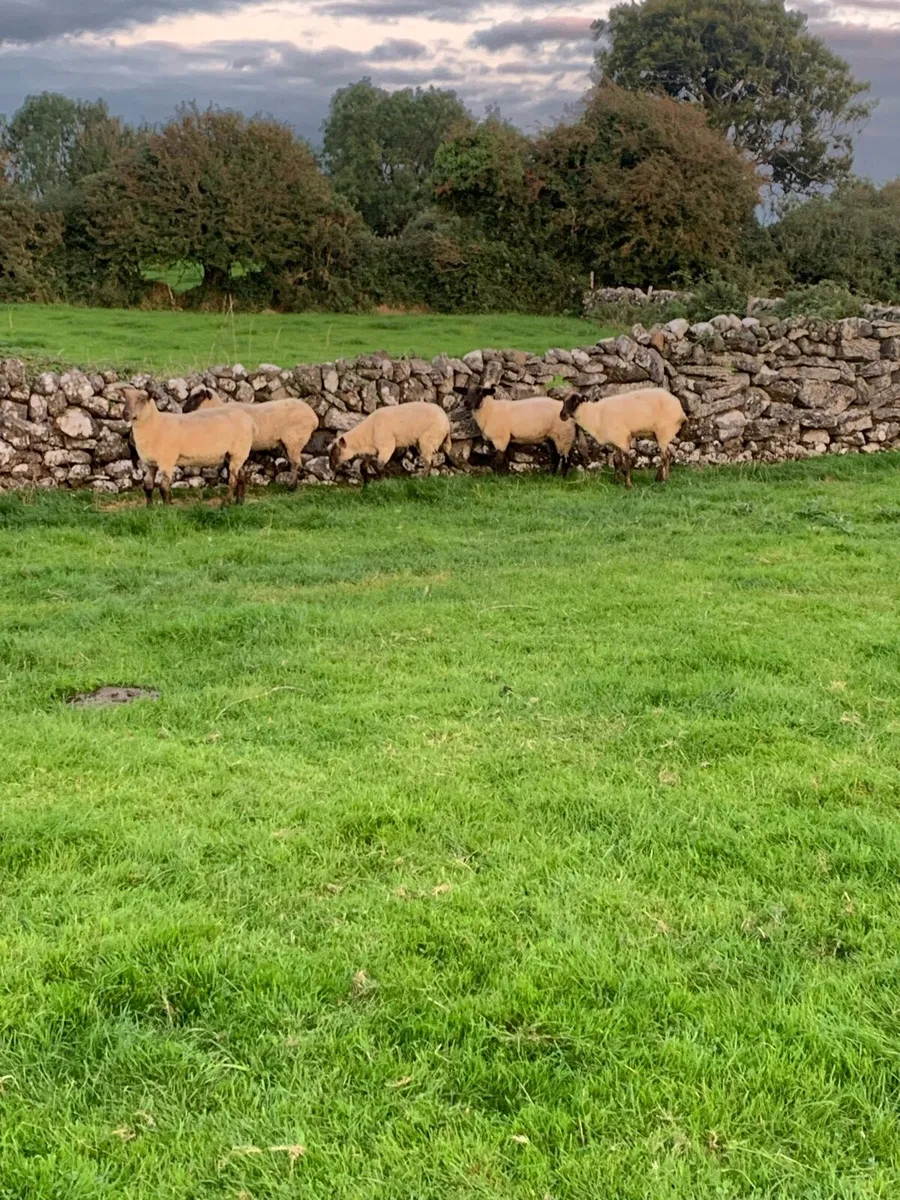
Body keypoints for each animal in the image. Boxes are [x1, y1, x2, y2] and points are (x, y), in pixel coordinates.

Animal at [121, 387, 255, 506]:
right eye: (125, 399)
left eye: (142, 399)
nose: (125, 414)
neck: (156, 424)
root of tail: (249, 420)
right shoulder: (150, 464)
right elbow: (148, 486)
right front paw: (149, 507)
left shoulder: (166, 460)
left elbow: (164, 487)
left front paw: (166, 507)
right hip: (233, 454)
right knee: (241, 476)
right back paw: (239, 502)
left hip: (238, 452)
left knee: (233, 480)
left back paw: (225, 504)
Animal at [182, 387, 318, 490]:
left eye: (198, 396)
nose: (184, 409)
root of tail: (314, 417)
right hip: (289, 442)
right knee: (294, 462)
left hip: (294, 440)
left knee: (296, 464)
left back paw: (292, 487)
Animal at [329, 402, 459, 482]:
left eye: (336, 451)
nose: (331, 467)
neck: (367, 433)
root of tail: (447, 423)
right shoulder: (373, 449)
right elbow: (363, 466)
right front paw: (366, 483)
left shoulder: (386, 446)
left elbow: (379, 466)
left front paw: (383, 480)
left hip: (428, 439)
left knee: (429, 462)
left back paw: (422, 479)